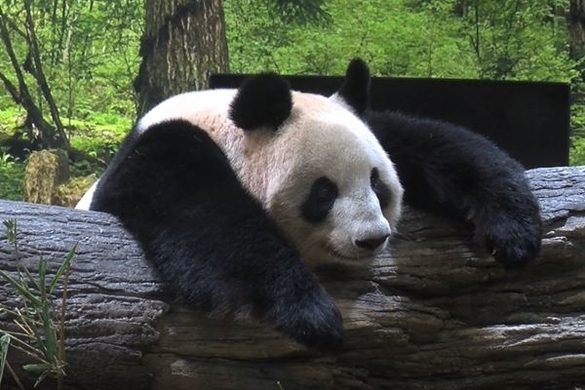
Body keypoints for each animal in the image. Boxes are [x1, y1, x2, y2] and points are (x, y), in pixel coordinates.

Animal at [77, 58, 544, 354]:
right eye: (323, 192)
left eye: (377, 183)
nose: (372, 239)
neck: (225, 129)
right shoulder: (158, 158)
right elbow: (208, 222)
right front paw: (311, 314)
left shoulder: (376, 129)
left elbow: (435, 143)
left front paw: (513, 231)